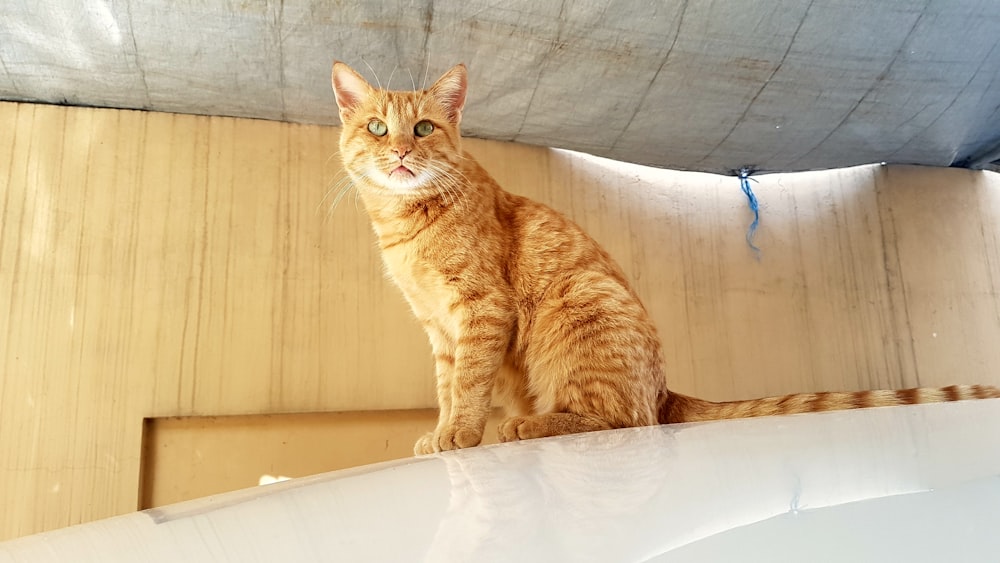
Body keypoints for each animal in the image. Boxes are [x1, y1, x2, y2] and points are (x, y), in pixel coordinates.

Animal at [330, 59, 1000, 456]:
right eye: (376, 128)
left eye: (421, 129)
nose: (399, 152)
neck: (407, 223)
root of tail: (665, 390)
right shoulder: (440, 329)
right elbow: (449, 386)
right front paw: (441, 432)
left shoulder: (480, 311)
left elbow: (469, 386)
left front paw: (462, 436)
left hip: (579, 312)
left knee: (625, 419)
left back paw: (531, 424)